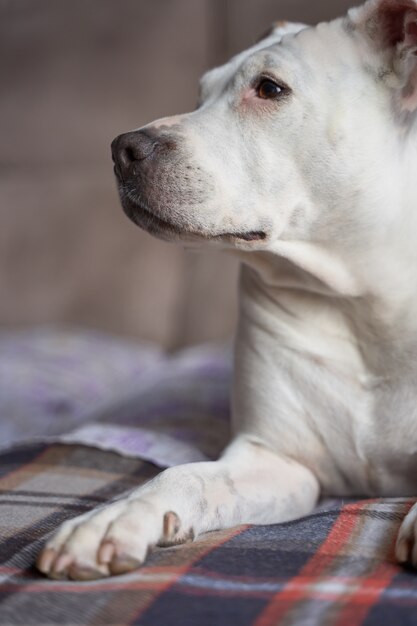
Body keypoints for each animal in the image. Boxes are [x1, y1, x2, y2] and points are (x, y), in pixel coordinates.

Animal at [36, 0, 417, 580]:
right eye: (200, 94)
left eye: (270, 88)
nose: (122, 148)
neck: (360, 301)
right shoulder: (276, 461)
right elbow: (184, 475)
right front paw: (114, 518)